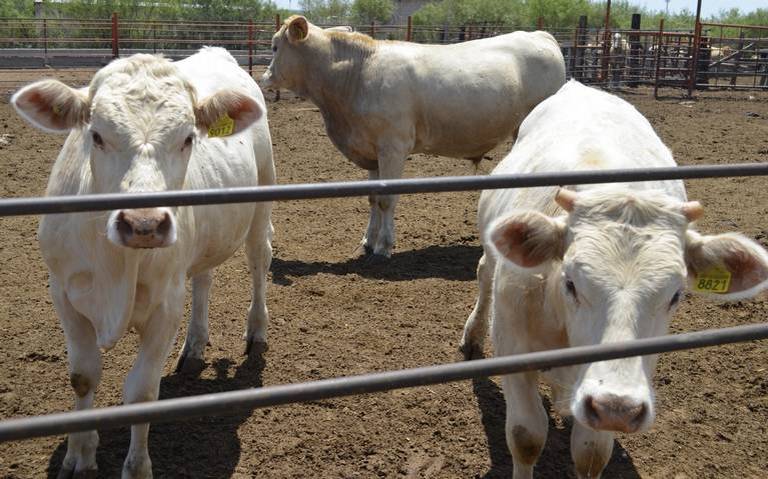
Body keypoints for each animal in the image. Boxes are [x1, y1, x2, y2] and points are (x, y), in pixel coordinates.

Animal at [12, 46, 276, 479]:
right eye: (96, 135)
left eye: (188, 138)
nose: (144, 223)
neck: (115, 266)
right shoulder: (64, 294)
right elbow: (83, 376)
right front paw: (79, 456)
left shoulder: (165, 305)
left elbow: (140, 393)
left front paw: (136, 467)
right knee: (204, 278)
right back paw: (194, 346)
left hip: (262, 199)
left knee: (259, 259)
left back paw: (256, 331)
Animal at [260, 15, 568, 256]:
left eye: (275, 46)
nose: (263, 78)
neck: (358, 74)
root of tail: (539, 35)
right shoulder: (371, 150)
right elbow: (372, 198)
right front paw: (368, 240)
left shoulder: (393, 147)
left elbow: (387, 199)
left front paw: (384, 246)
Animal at [460, 80, 768, 478]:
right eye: (571, 283)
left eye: (676, 295)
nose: (617, 407)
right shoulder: (513, 347)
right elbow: (526, 437)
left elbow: (591, 452)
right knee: (484, 273)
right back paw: (472, 336)